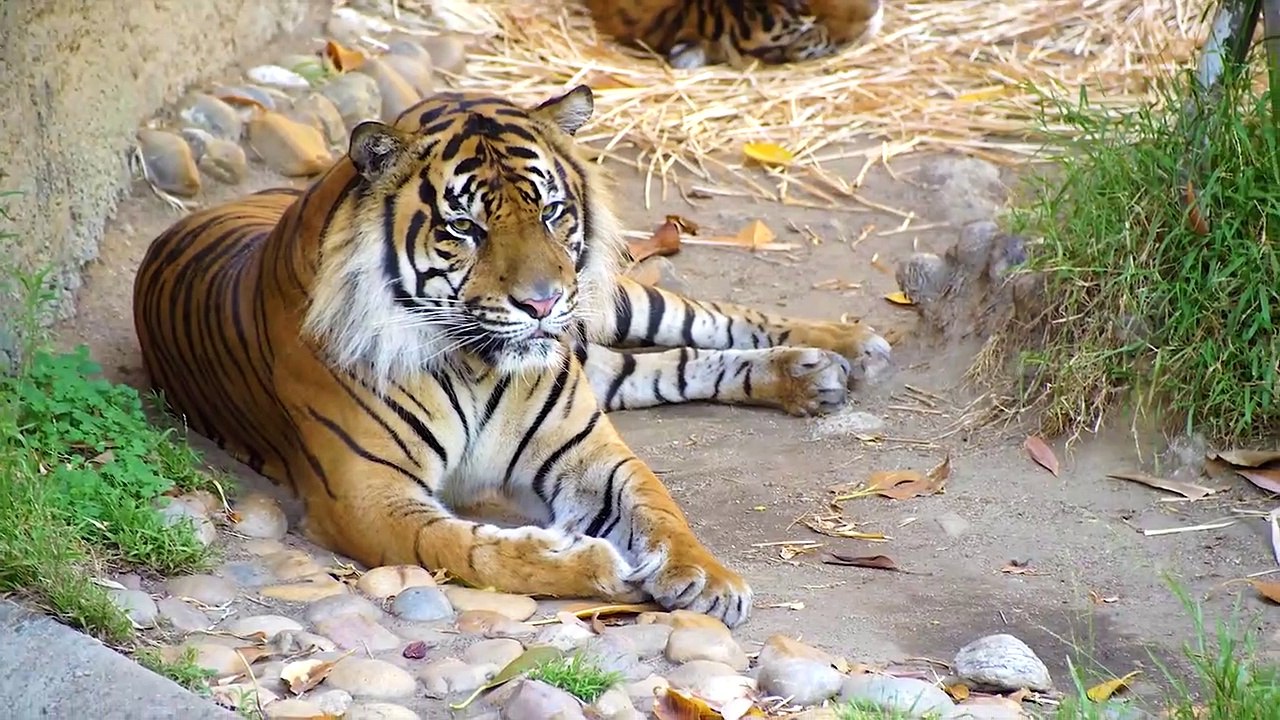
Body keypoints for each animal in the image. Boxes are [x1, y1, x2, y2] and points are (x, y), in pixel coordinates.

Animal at [131, 86, 892, 628]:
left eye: (552, 212)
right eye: (464, 227)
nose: (543, 304)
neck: (478, 364)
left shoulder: (587, 450)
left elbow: (660, 506)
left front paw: (707, 577)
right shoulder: (366, 495)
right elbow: (469, 550)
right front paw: (594, 567)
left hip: (613, 303)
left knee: (708, 319)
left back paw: (843, 349)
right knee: (658, 365)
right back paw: (814, 374)